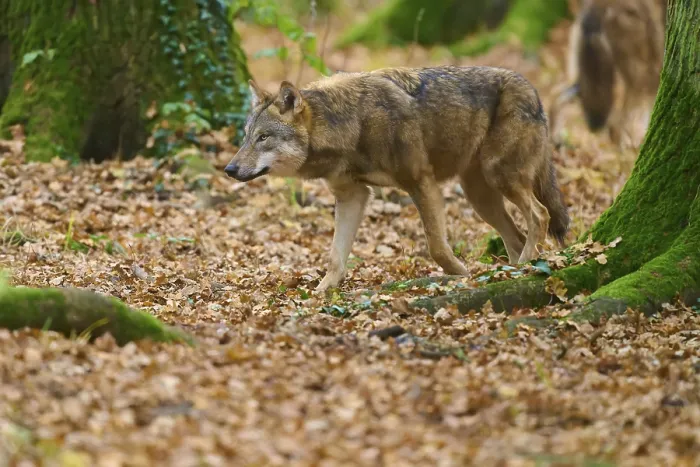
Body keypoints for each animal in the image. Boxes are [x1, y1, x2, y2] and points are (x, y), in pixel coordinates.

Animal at [225, 66, 570, 291]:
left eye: (263, 138)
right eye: (246, 137)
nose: (229, 169)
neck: (351, 124)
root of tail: (533, 90)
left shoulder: (420, 182)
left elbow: (437, 247)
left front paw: (461, 273)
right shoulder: (352, 196)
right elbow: (335, 256)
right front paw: (322, 293)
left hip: (500, 178)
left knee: (540, 215)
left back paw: (526, 266)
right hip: (480, 197)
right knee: (516, 235)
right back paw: (513, 271)